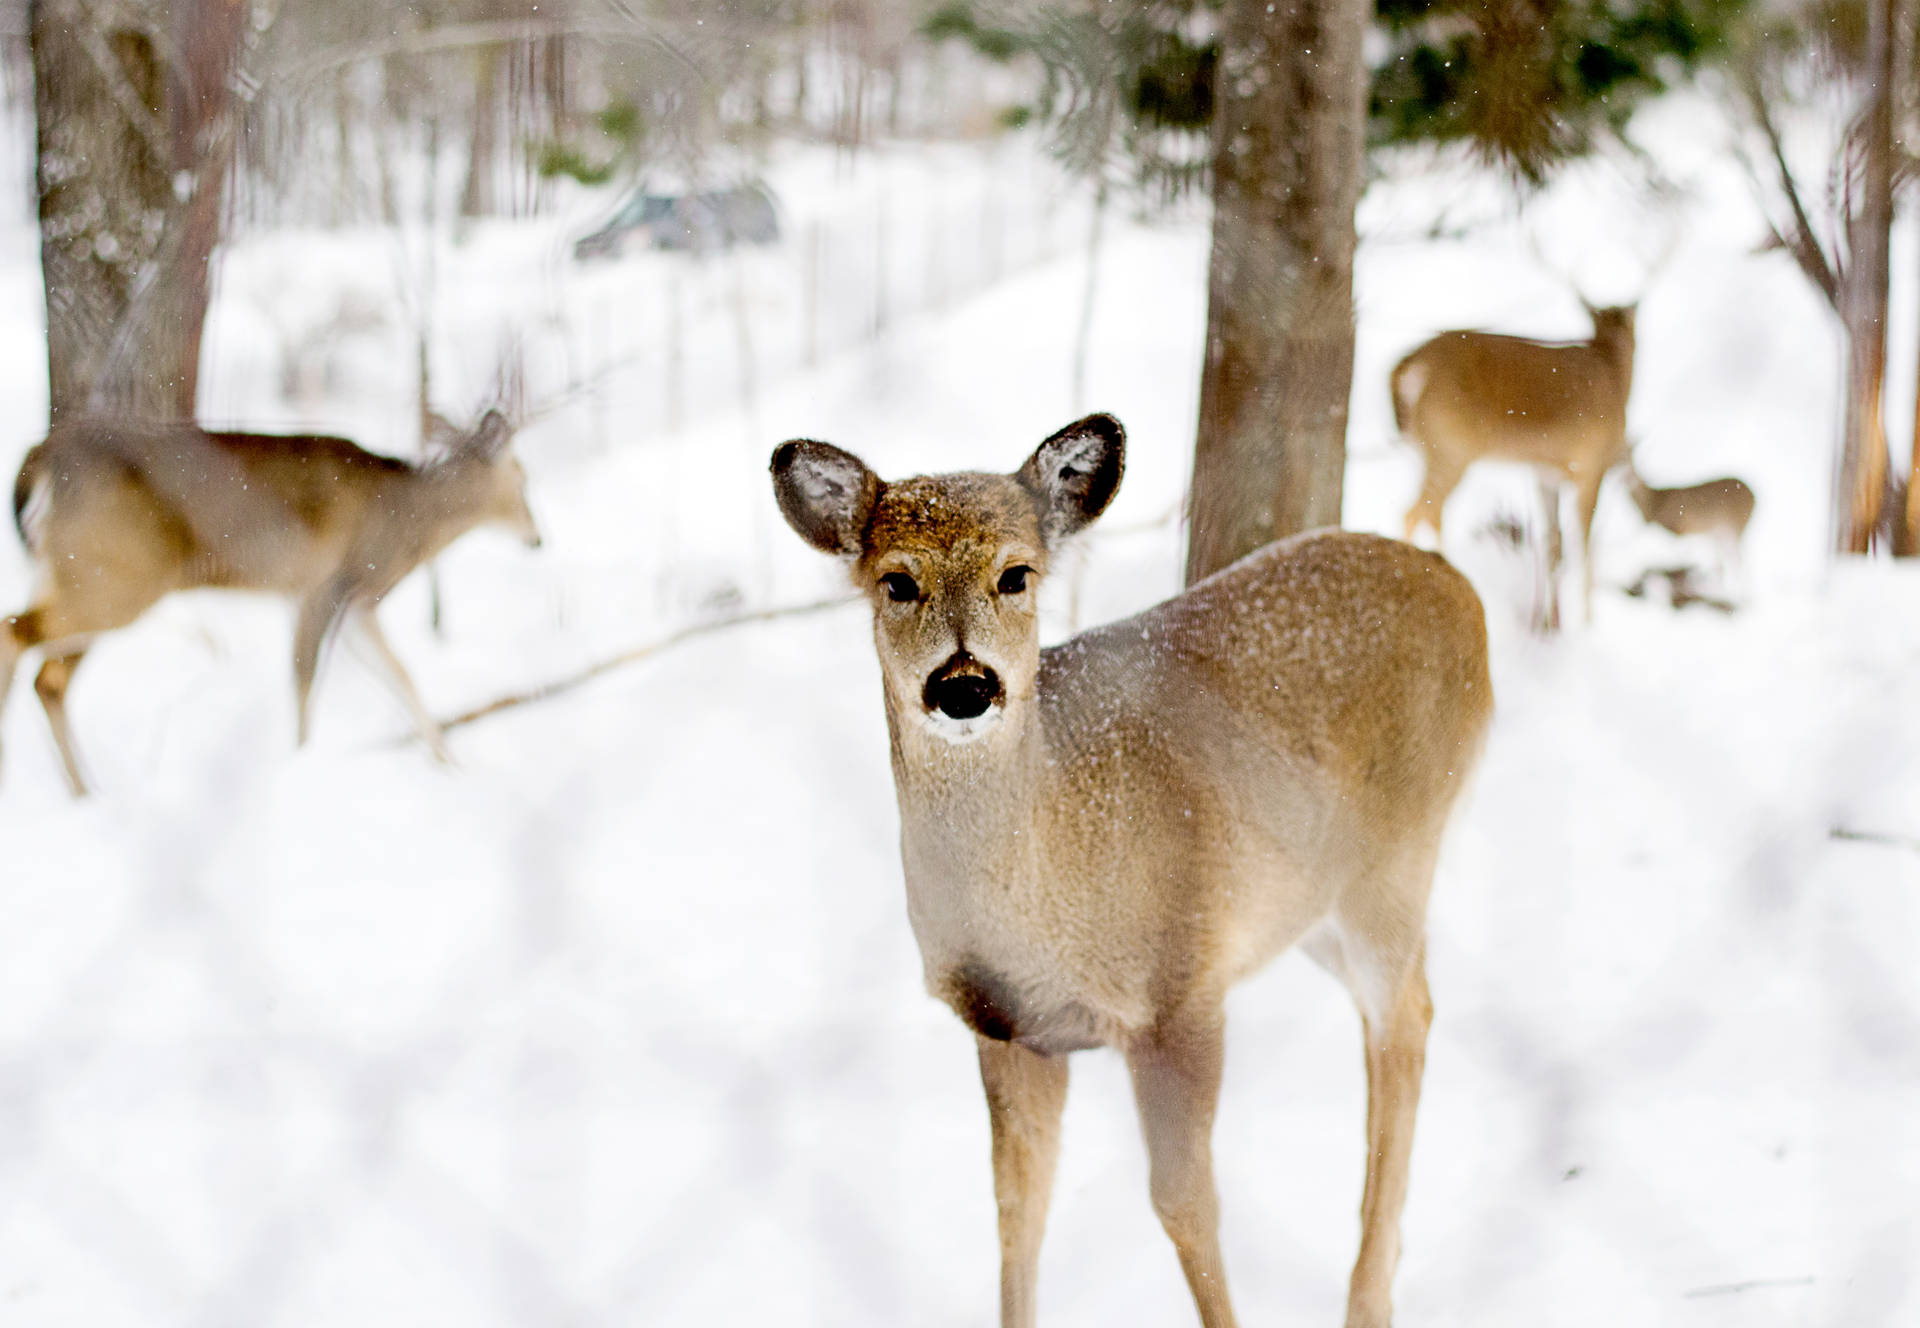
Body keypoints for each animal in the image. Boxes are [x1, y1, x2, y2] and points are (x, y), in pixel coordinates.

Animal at [1, 410, 541, 794]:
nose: (538, 538)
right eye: (523, 478)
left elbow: (400, 675)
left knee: (48, 679)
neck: (404, 518)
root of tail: (41, 459)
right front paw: (298, 764)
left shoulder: (354, 604)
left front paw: (451, 764)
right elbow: (303, 681)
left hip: (74, 574)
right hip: (115, 576)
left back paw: (84, 791)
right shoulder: (321, 588)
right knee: (17, 635)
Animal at [771, 414, 1489, 1328]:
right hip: (1311, 904)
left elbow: (1185, 1206)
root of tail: (1461, 591)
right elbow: (1017, 1216)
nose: (964, 686)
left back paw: (1367, 1298)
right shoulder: (1008, 1028)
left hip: (1395, 860)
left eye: (1016, 575)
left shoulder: (1180, 992)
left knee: (1404, 1027)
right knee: (1402, 1014)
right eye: (896, 582)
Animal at [1397, 297, 1635, 621]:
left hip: (1426, 448)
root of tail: (1412, 367)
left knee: (1427, 512)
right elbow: (1584, 544)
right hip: (1451, 446)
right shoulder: (1591, 464)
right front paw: (1587, 619)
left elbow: (1552, 542)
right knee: (1417, 512)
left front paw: (1551, 620)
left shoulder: (1546, 473)